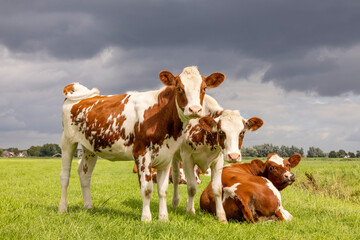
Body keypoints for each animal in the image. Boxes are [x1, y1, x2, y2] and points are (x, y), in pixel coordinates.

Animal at [59, 65, 225, 221]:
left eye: (204, 88)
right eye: (179, 88)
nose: (195, 109)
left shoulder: (166, 156)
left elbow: (163, 190)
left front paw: (163, 218)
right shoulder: (142, 153)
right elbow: (147, 189)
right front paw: (146, 218)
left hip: (90, 148)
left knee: (84, 174)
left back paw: (88, 206)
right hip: (67, 142)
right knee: (65, 176)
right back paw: (63, 207)